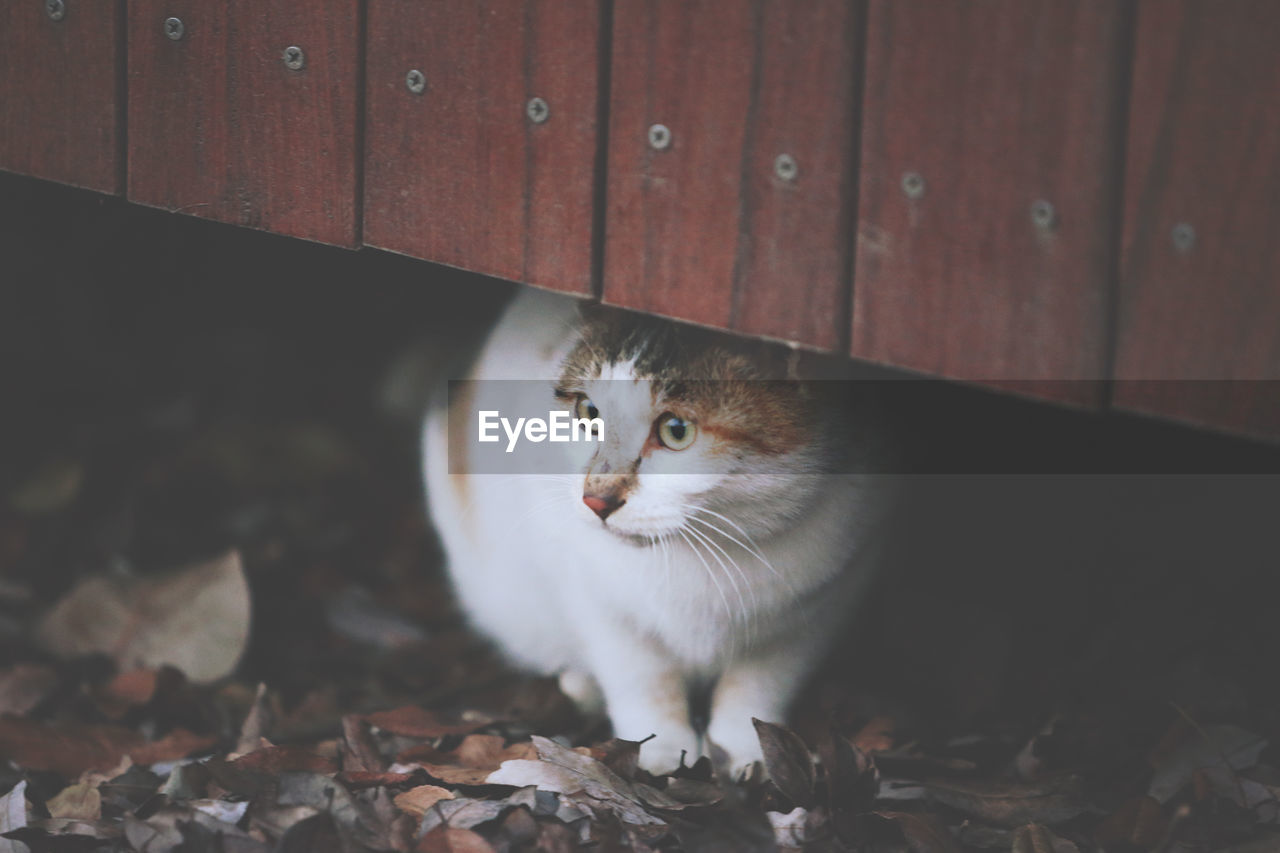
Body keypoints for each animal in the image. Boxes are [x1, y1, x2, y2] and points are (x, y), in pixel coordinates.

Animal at [422, 284, 901, 768]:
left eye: (676, 430)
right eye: (587, 411)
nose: (596, 499)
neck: (700, 556)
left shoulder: (817, 609)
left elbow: (758, 685)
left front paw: (750, 754)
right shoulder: (597, 600)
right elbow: (641, 680)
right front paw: (660, 752)